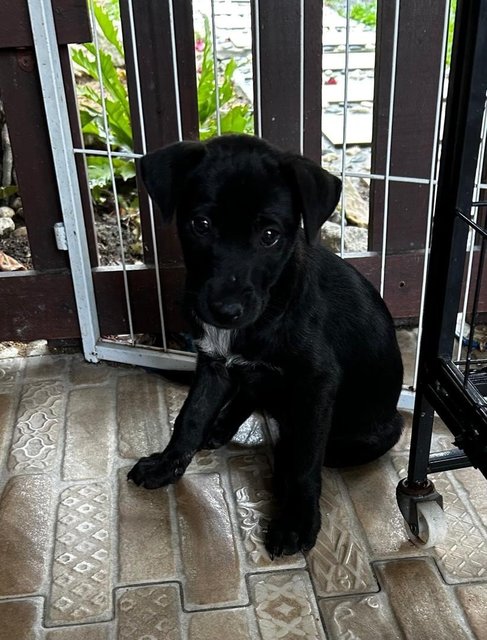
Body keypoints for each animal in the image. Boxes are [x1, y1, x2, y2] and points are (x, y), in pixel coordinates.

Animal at [127, 134, 404, 556]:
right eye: (201, 225)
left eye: (270, 236)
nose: (225, 311)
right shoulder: (214, 363)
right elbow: (188, 418)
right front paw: (166, 464)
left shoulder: (316, 382)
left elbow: (306, 458)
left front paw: (296, 522)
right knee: (250, 394)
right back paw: (221, 425)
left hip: (374, 432)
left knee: (310, 446)